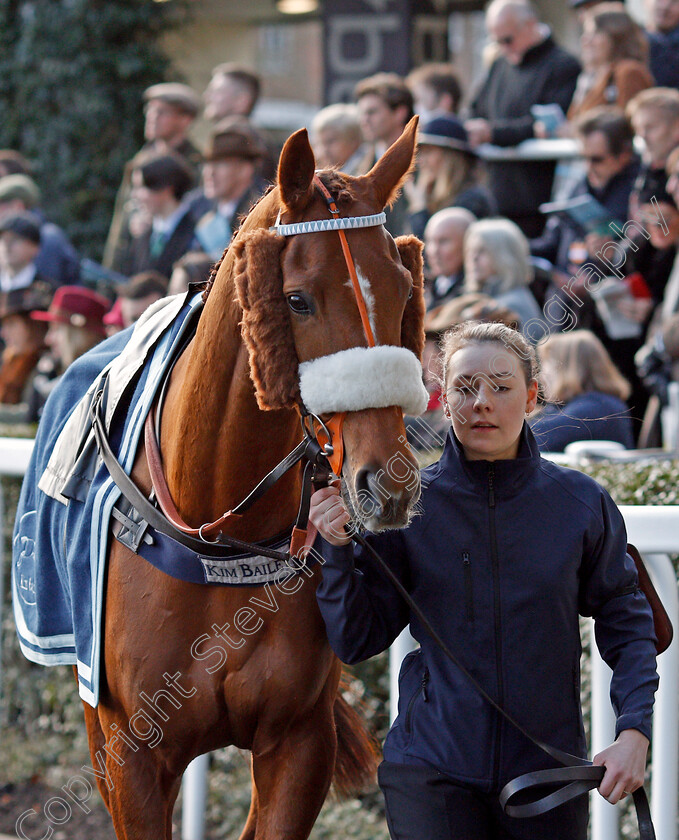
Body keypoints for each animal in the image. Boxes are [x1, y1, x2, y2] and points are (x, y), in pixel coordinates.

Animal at [81, 120, 424, 840]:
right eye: (297, 298)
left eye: (404, 290)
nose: (389, 483)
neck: (220, 534)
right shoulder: (130, 755)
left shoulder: (299, 740)